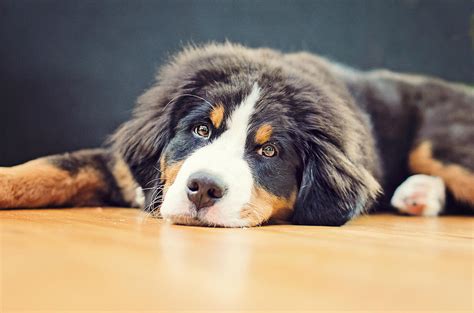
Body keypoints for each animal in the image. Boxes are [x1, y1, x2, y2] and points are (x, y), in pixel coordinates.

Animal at [0, 42, 474, 225]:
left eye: (269, 152)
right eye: (201, 129)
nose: (203, 189)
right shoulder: (121, 166)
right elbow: (49, 167)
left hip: (436, 144)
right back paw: (418, 195)